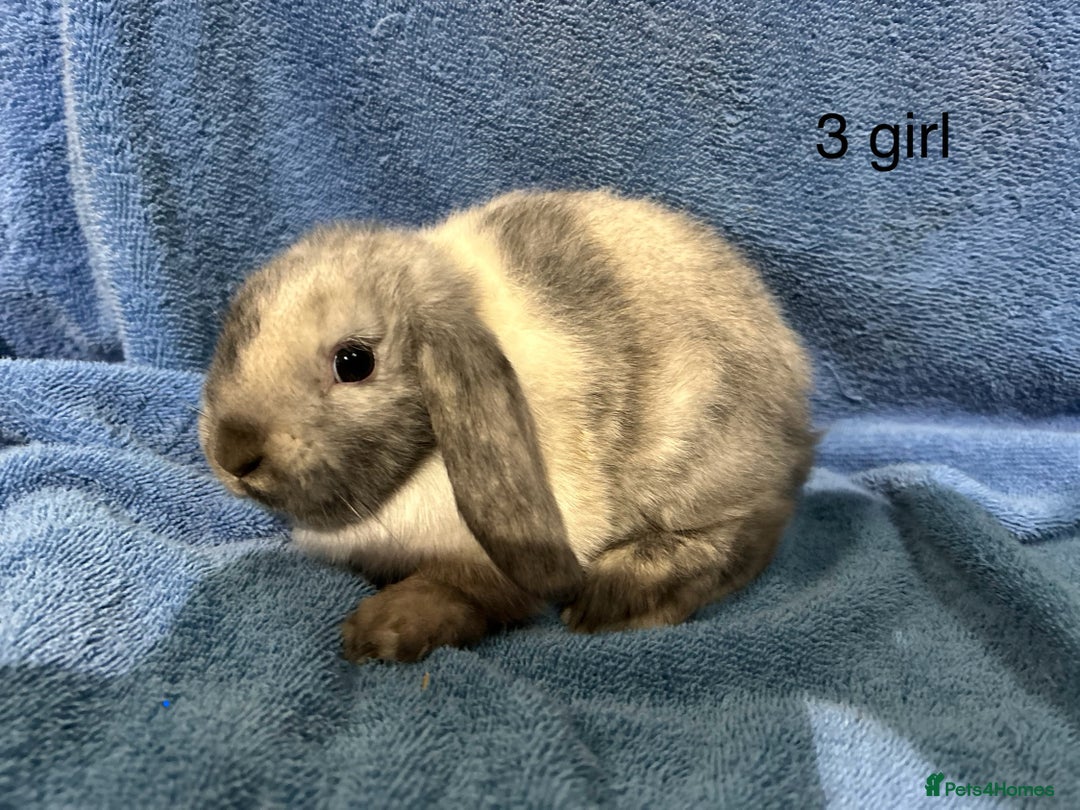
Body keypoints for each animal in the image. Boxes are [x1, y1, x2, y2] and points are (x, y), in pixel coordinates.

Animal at [199, 188, 815, 663]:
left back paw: (609, 601)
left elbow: (459, 590)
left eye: (353, 363)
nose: (233, 453)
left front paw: (379, 632)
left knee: (743, 537)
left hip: (698, 456)